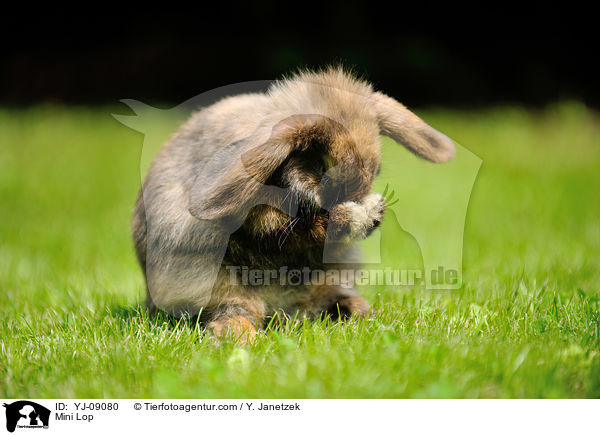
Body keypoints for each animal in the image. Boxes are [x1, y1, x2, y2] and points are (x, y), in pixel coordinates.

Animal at [134, 66, 454, 342]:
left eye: (376, 171)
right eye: (322, 167)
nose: (360, 200)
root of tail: (280, 310)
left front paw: (374, 210)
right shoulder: (271, 223)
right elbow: (304, 229)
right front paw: (358, 215)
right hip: (222, 288)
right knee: (234, 313)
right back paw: (240, 338)